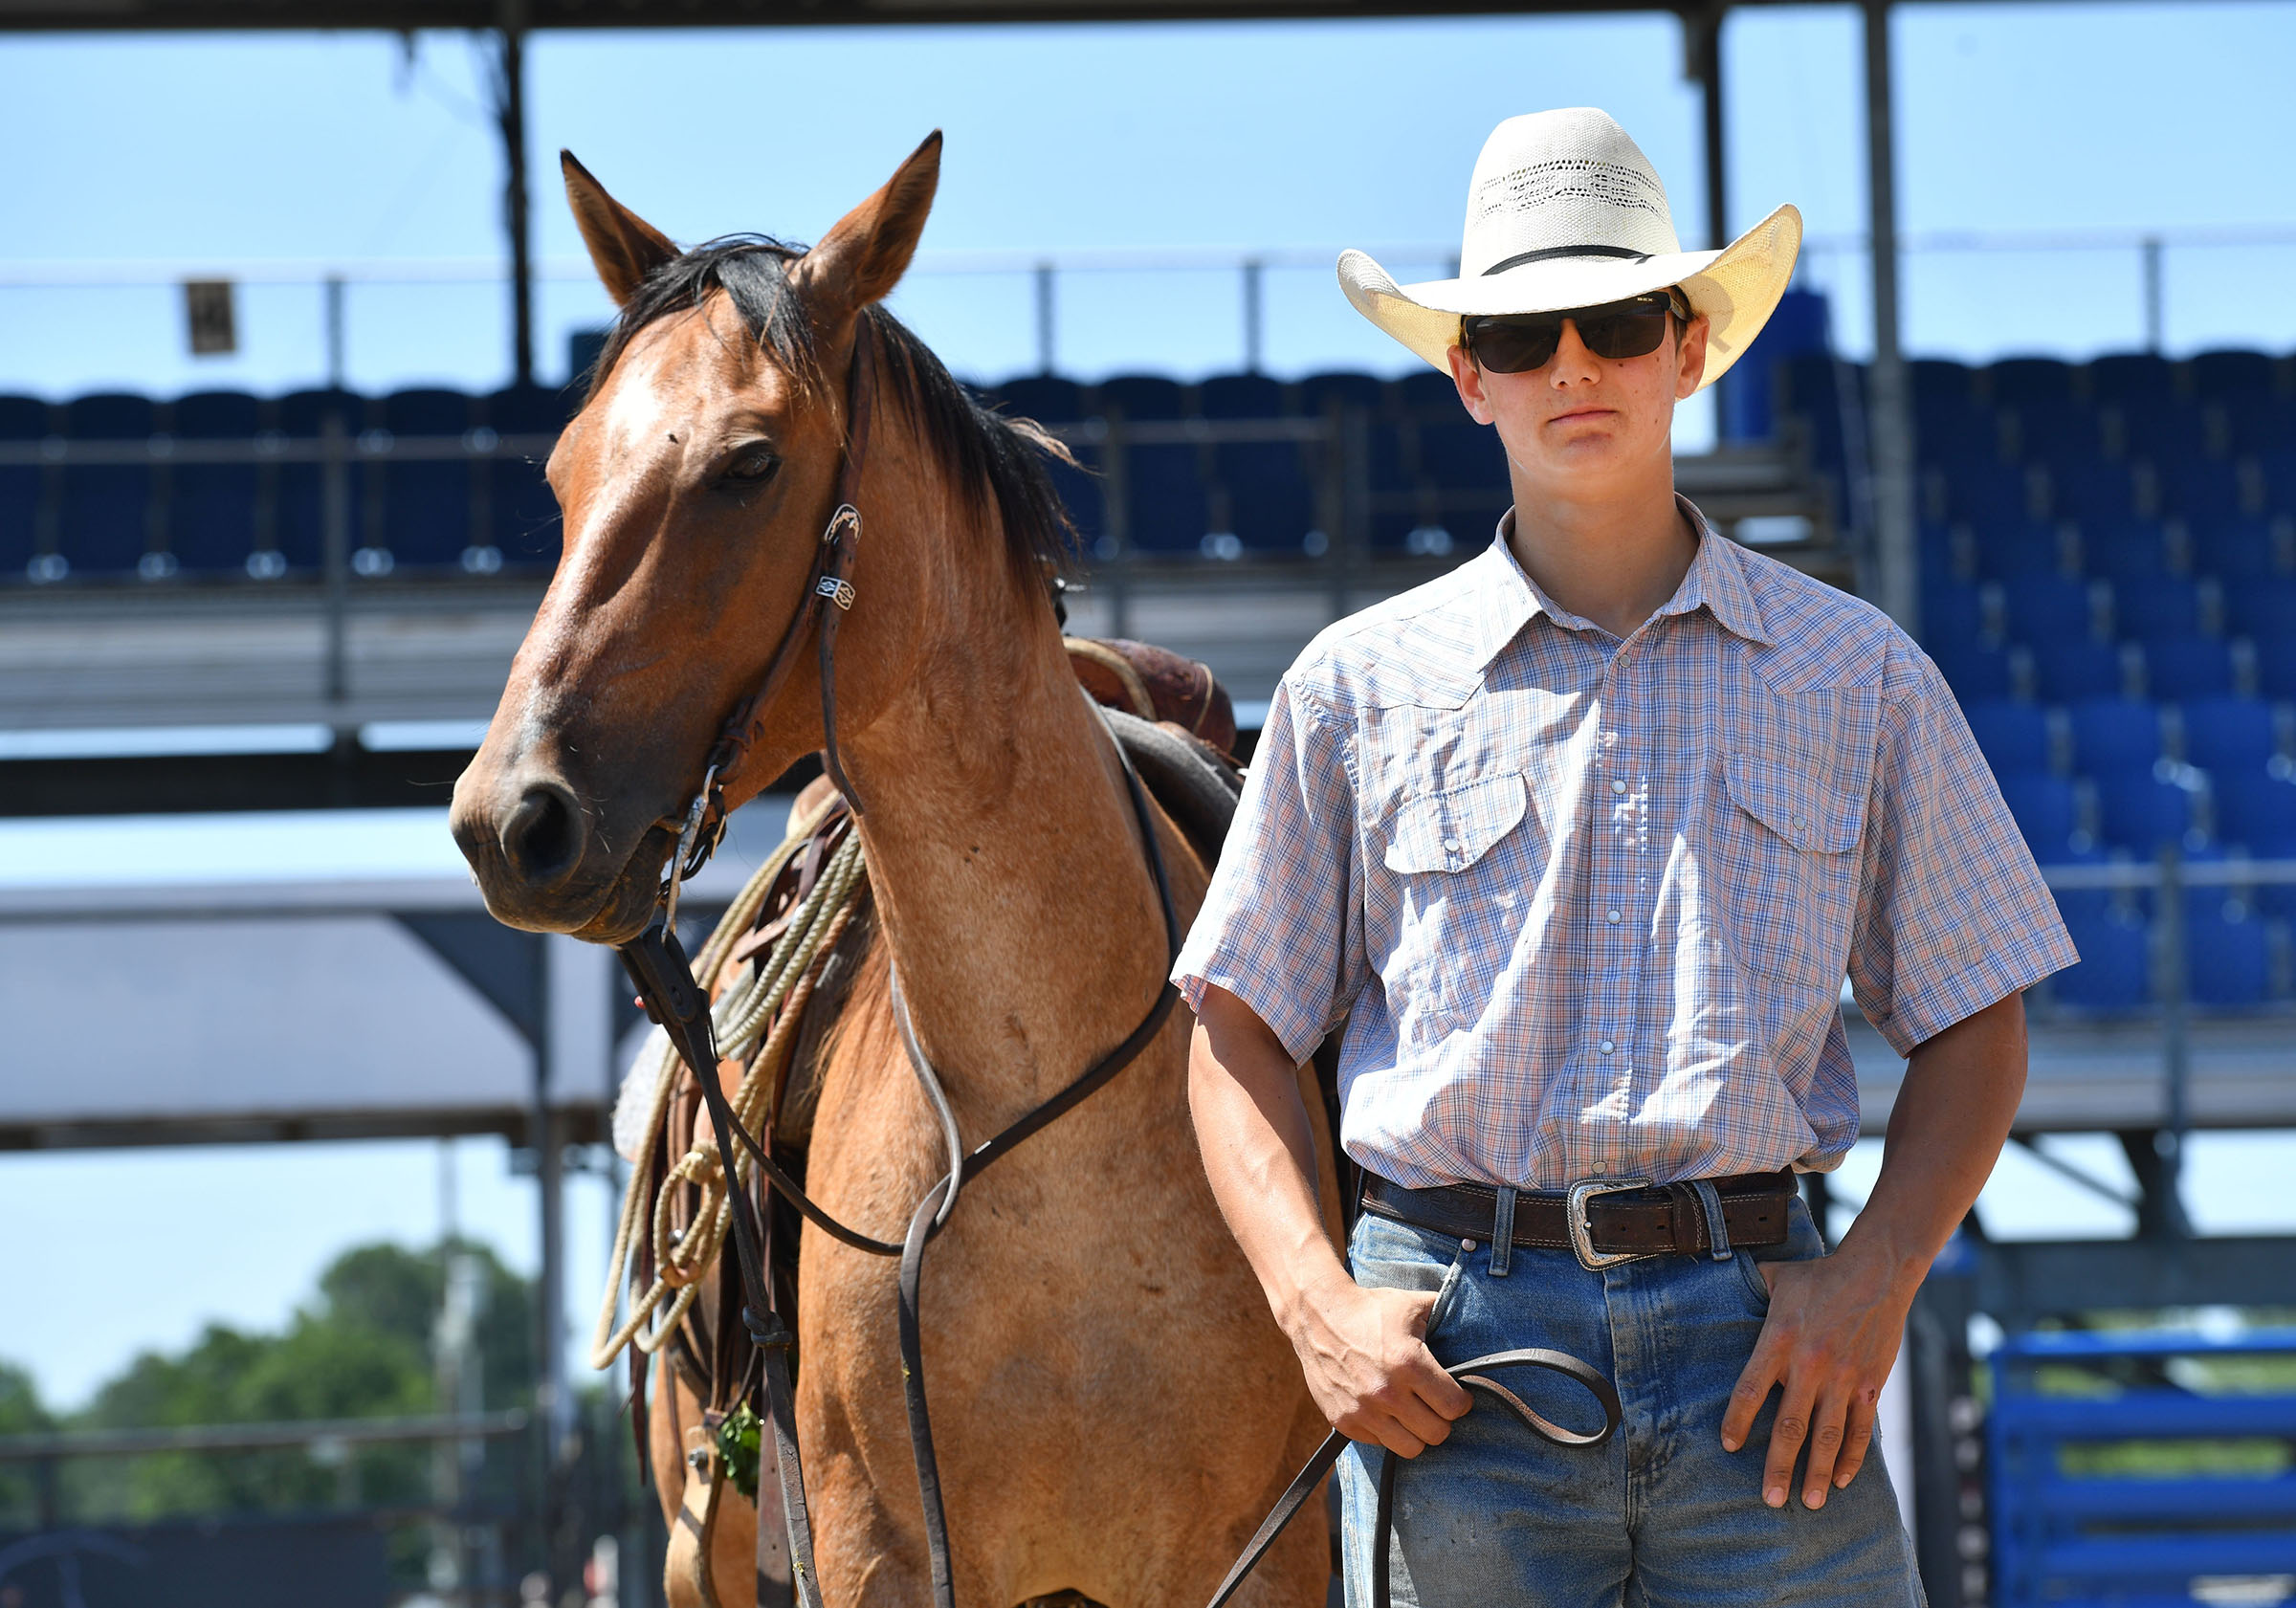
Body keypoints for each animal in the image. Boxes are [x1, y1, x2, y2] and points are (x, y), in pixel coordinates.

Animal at [443, 138, 1340, 1607]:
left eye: (750, 463)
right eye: (565, 476)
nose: (510, 820)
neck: (1044, 1124)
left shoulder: (1272, 1552)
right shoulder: (871, 1550)